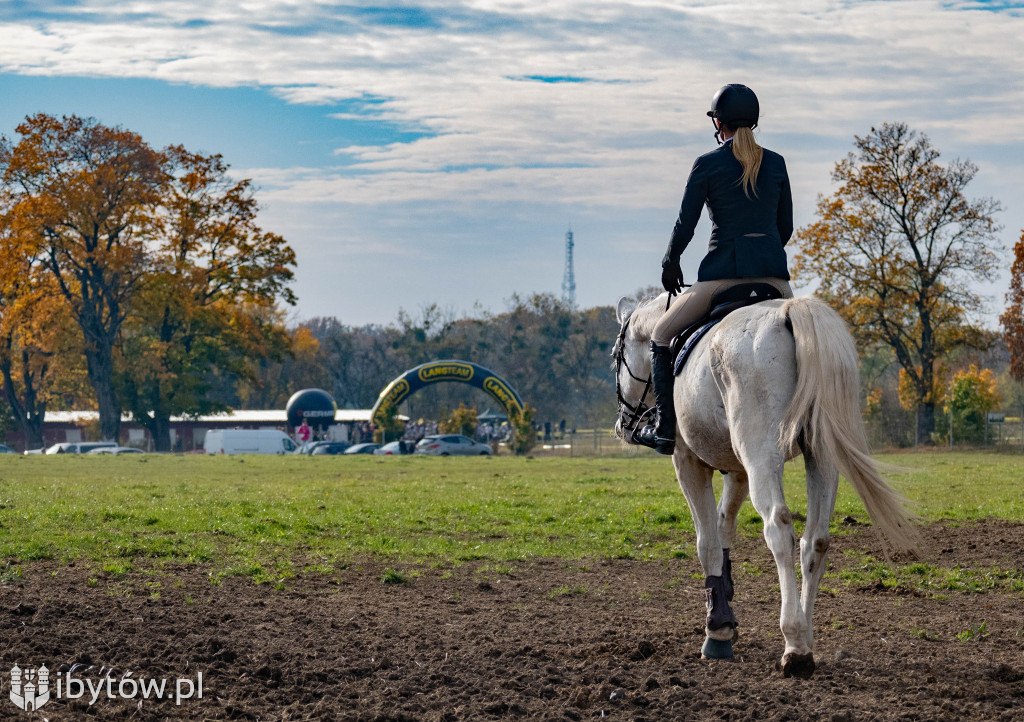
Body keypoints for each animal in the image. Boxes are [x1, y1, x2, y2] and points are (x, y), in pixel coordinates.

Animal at [610, 292, 917, 675]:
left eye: (615, 356)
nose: (622, 425)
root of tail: (789, 310)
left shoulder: (688, 462)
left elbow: (708, 543)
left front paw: (717, 631)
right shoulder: (739, 470)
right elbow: (724, 528)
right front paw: (725, 609)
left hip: (761, 454)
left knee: (779, 529)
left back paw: (795, 644)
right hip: (820, 455)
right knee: (815, 540)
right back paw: (807, 634)